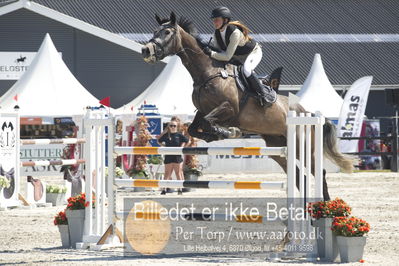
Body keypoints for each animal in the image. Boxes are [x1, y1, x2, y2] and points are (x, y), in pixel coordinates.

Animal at [141, 12, 354, 200]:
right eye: (154, 31)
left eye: (167, 32)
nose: (146, 50)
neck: (207, 73)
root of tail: (309, 113)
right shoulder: (202, 111)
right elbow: (195, 128)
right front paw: (214, 135)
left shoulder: (229, 109)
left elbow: (210, 122)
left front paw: (228, 132)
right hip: (277, 145)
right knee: (296, 174)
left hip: (302, 146)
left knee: (319, 172)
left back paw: (325, 206)